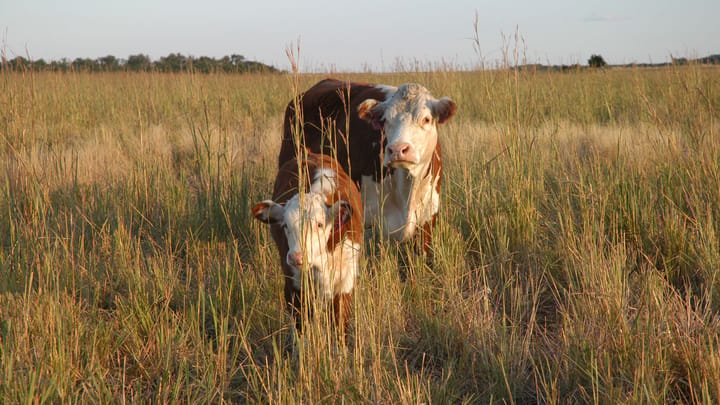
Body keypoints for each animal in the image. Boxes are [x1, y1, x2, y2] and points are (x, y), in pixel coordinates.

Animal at [252, 151, 363, 345]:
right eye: (285, 226)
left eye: (319, 224)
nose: (296, 257)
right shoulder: (294, 285)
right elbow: (301, 328)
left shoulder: (345, 282)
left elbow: (340, 328)